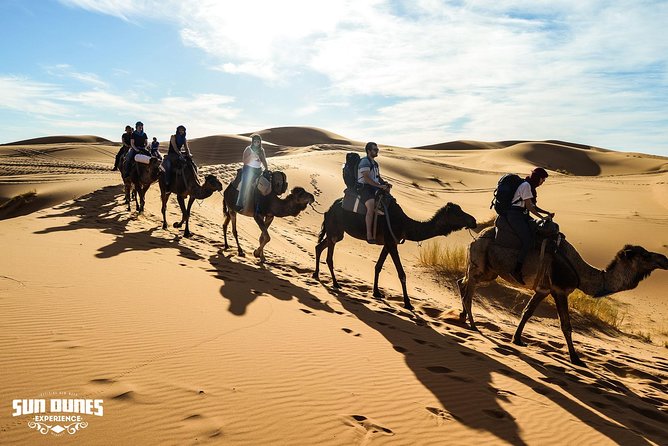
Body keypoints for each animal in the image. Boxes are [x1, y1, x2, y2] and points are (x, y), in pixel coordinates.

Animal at [314, 197, 474, 312]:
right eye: (458, 213)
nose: (473, 220)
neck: (405, 225)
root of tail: (328, 209)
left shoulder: (388, 243)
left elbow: (378, 266)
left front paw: (376, 292)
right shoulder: (392, 242)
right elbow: (401, 273)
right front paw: (408, 303)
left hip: (337, 232)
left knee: (319, 246)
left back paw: (316, 275)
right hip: (335, 228)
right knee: (329, 256)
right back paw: (335, 283)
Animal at [460, 226, 668, 366]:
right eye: (645, 255)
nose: (664, 259)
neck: (583, 274)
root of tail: (474, 239)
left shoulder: (543, 290)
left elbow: (527, 312)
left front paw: (517, 339)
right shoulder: (560, 290)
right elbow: (566, 325)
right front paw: (576, 358)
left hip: (490, 271)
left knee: (463, 283)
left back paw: (463, 318)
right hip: (481, 263)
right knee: (469, 288)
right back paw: (473, 324)